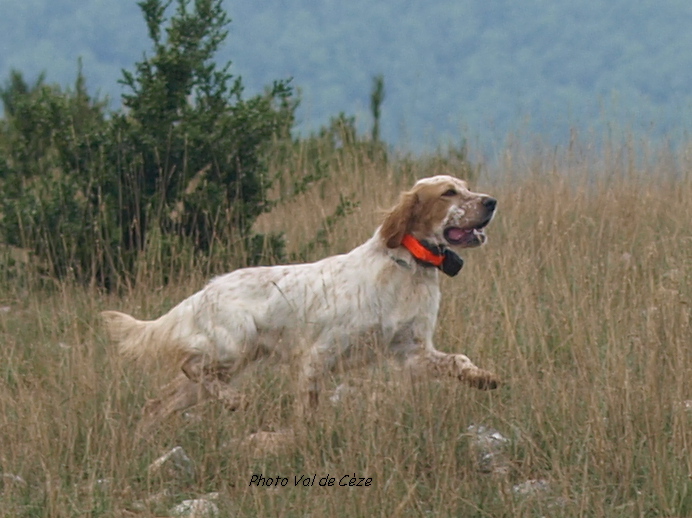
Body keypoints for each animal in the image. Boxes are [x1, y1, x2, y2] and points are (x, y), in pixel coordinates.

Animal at [101, 175, 498, 430]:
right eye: (449, 192)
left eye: (466, 186)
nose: (491, 201)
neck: (407, 268)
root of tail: (203, 292)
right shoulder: (316, 355)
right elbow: (308, 410)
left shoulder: (413, 352)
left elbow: (458, 359)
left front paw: (482, 377)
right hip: (234, 347)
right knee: (190, 366)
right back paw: (233, 400)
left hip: (222, 366)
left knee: (158, 403)